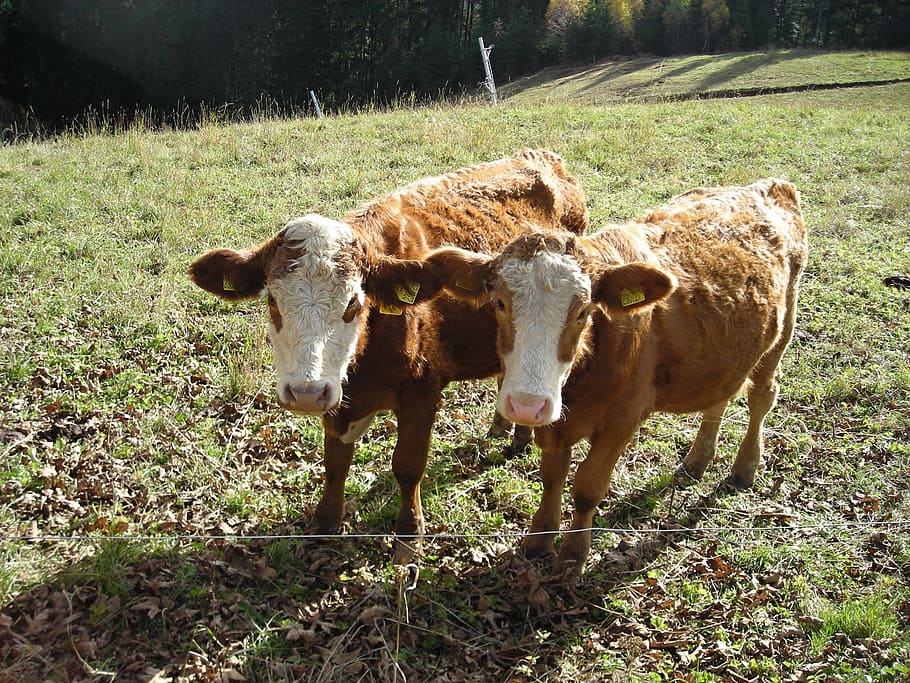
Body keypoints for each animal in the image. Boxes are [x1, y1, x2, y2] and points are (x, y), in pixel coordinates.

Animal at [189, 150, 589, 562]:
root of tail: (541, 155)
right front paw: (326, 521)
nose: (305, 393)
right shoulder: (339, 397)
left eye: (353, 303)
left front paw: (408, 535)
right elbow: (336, 462)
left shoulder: (422, 391)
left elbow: (408, 467)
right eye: (271, 301)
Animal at [372, 179, 808, 574]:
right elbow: (552, 477)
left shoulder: (621, 421)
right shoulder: (555, 422)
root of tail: (770, 186)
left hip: (778, 339)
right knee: (719, 399)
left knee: (761, 397)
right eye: (499, 303)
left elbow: (586, 488)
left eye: (583, 310)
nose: (526, 405)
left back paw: (744, 468)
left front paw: (572, 555)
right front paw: (539, 539)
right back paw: (697, 460)